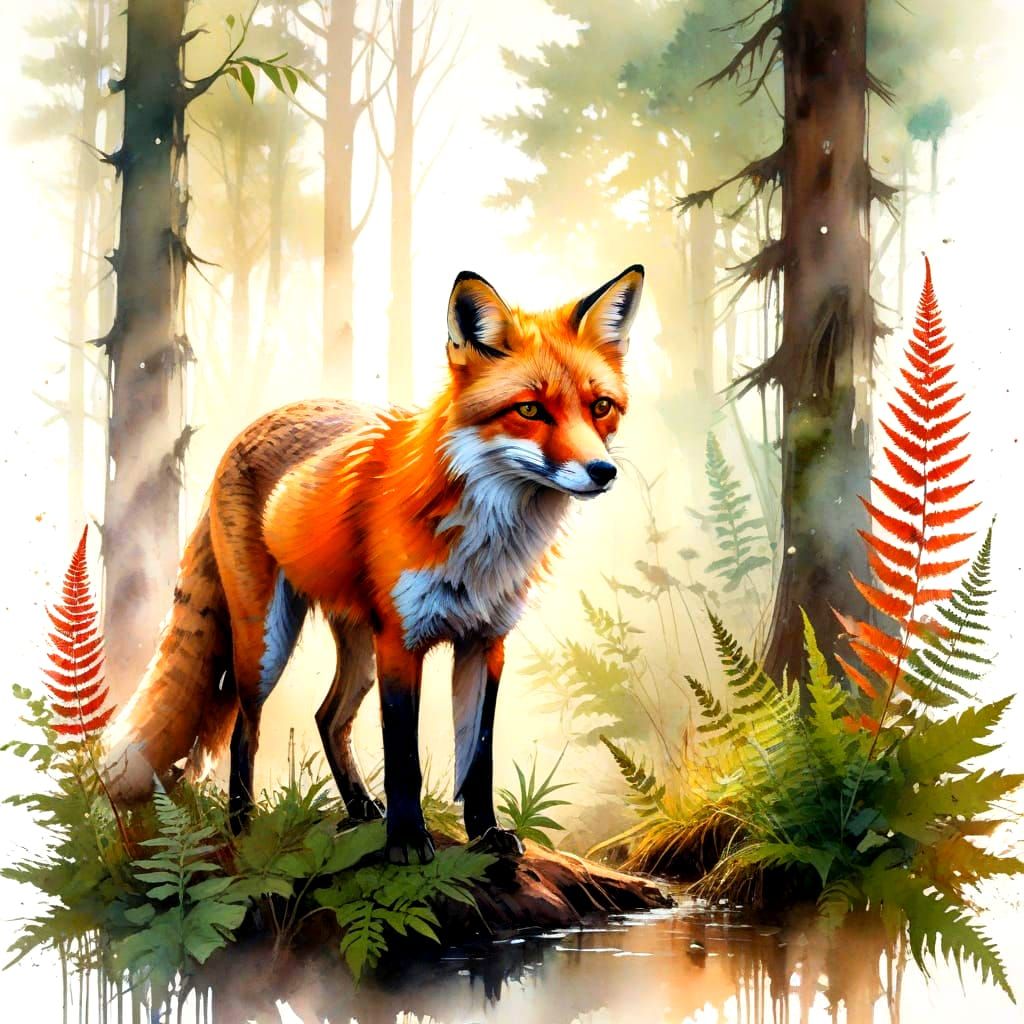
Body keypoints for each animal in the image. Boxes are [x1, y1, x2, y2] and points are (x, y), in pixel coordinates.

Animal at [104, 264, 644, 864]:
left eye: (600, 407)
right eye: (529, 409)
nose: (602, 471)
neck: (483, 544)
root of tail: (252, 427)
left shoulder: (486, 642)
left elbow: (477, 758)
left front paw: (484, 833)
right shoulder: (401, 642)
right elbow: (403, 757)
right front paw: (407, 841)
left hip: (358, 646)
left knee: (327, 716)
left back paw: (360, 808)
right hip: (267, 646)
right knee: (247, 727)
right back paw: (241, 825)